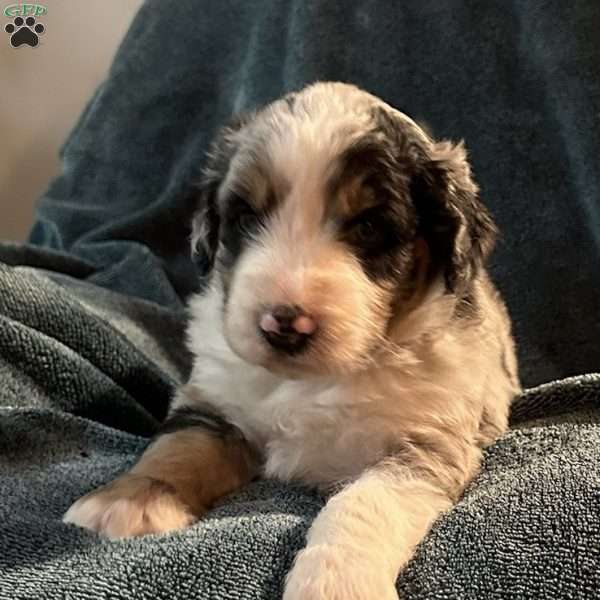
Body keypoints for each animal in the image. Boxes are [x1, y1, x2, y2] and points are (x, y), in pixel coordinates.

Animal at [63, 81, 516, 600]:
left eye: (369, 227)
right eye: (245, 218)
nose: (283, 323)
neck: (313, 382)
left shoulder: (424, 443)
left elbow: (364, 501)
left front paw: (338, 581)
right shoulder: (216, 405)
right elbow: (178, 446)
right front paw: (129, 500)